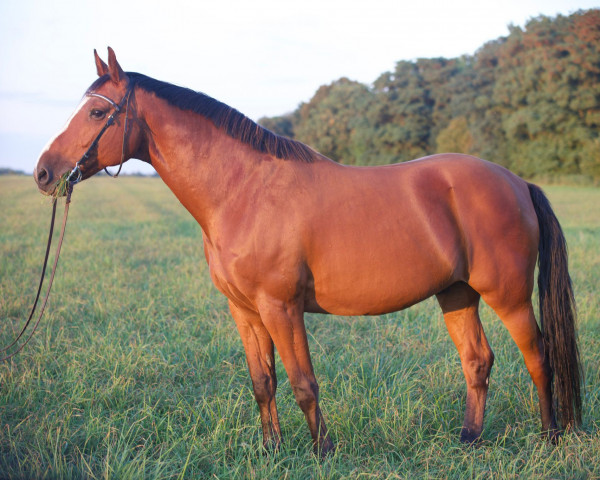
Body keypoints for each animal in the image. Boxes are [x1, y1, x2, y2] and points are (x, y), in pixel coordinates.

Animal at [34, 47, 580, 454]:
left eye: (98, 112)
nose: (43, 173)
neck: (243, 191)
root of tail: (517, 182)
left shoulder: (282, 307)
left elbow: (303, 381)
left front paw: (322, 451)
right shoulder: (244, 310)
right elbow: (263, 381)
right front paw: (271, 450)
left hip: (507, 295)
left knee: (538, 356)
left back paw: (550, 437)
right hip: (457, 293)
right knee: (478, 360)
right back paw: (468, 439)